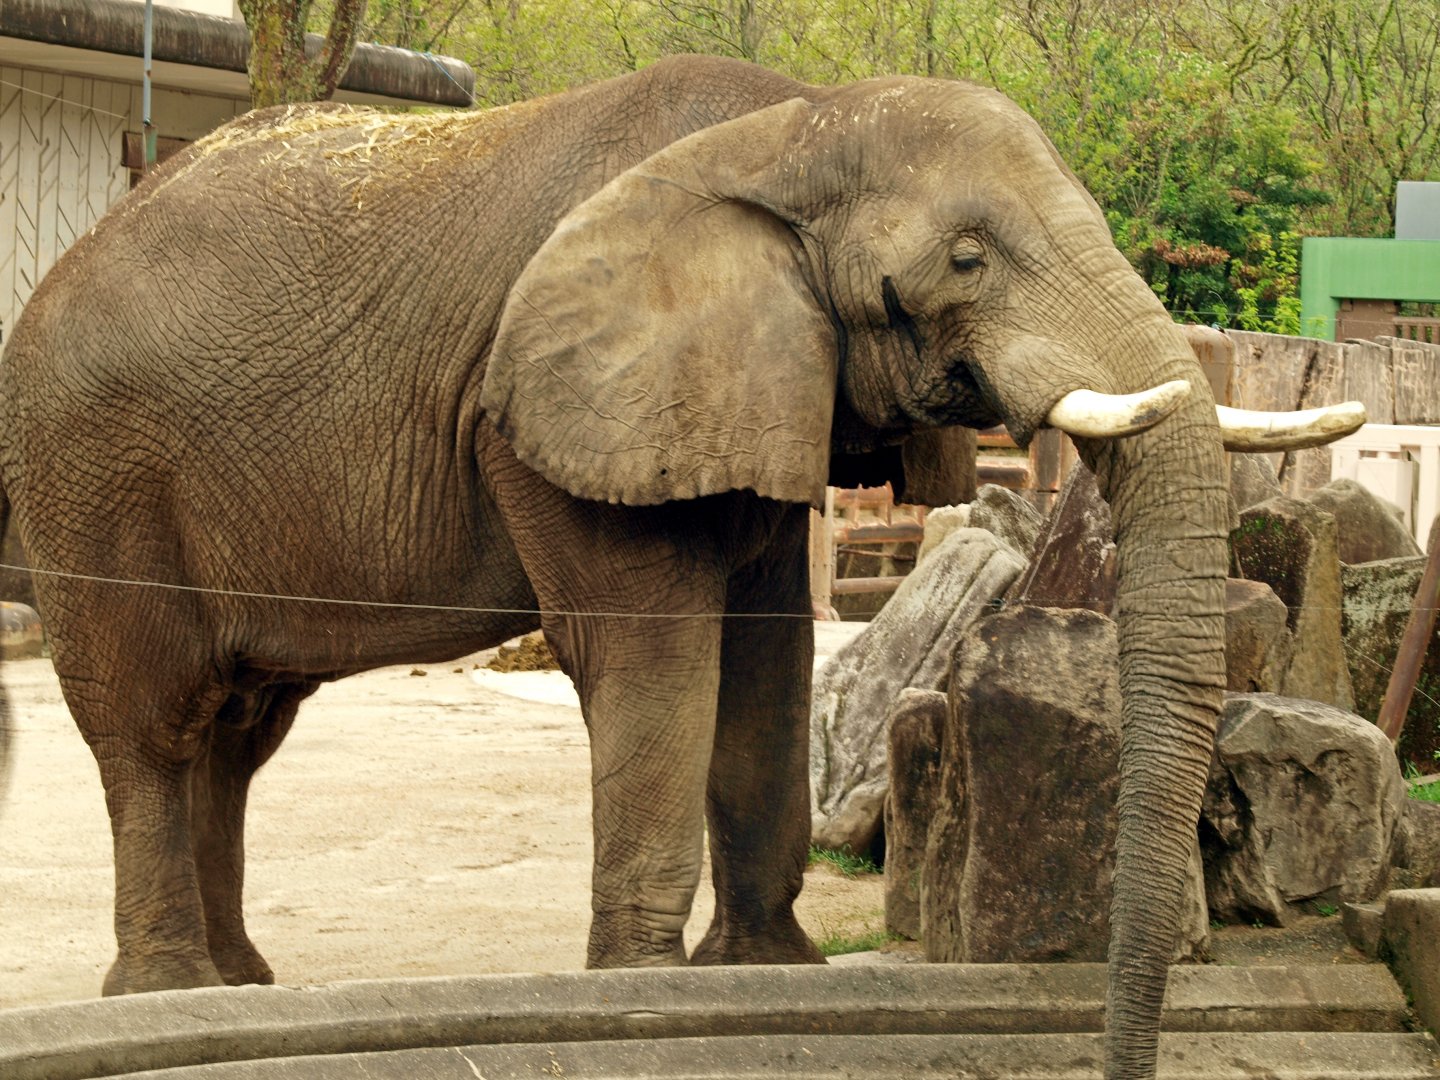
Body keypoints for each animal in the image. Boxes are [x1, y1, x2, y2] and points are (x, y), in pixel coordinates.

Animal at [0, 55, 1360, 1078]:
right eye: (969, 258)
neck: (791, 125)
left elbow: (765, 655)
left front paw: (764, 980)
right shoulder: (551, 413)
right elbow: (655, 655)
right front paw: (638, 996)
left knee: (237, 731)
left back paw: (238, 992)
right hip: (91, 475)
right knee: (154, 727)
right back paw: (161, 997)